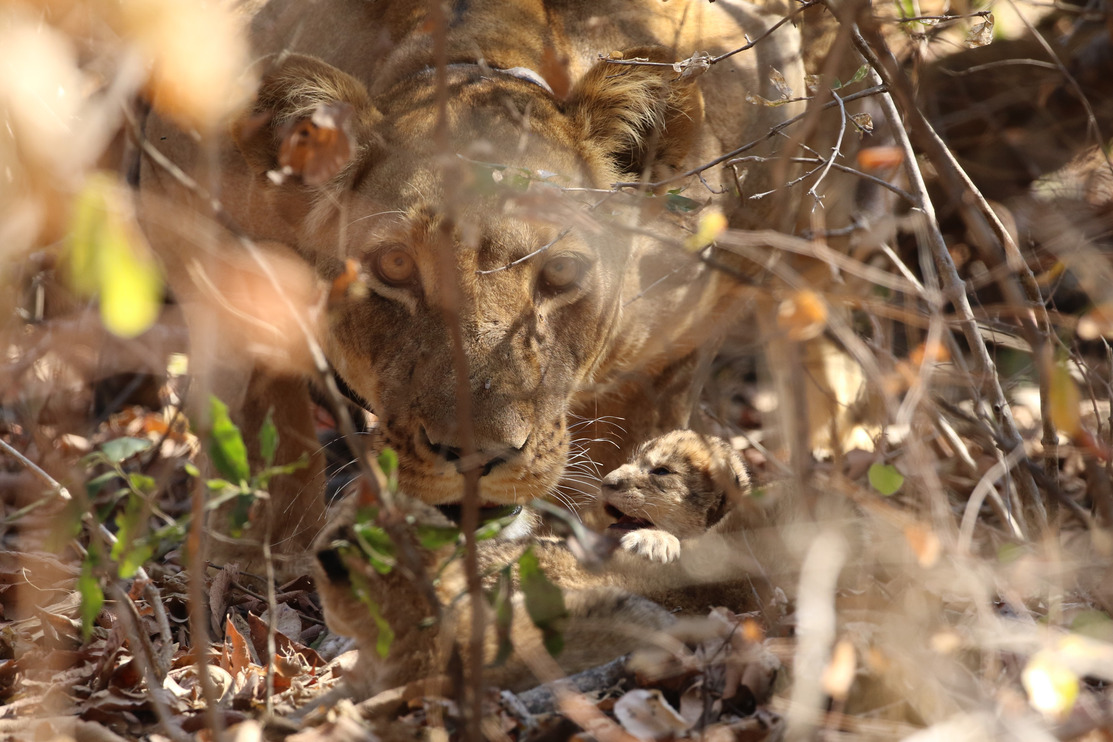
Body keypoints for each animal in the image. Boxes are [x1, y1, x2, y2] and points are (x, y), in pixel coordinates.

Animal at [137, 0, 815, 574]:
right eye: (395, 266)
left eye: (562, 274)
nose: (476, 458)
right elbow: (267, 441)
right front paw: (259, 560)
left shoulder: (684, 332)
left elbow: (628, 446)